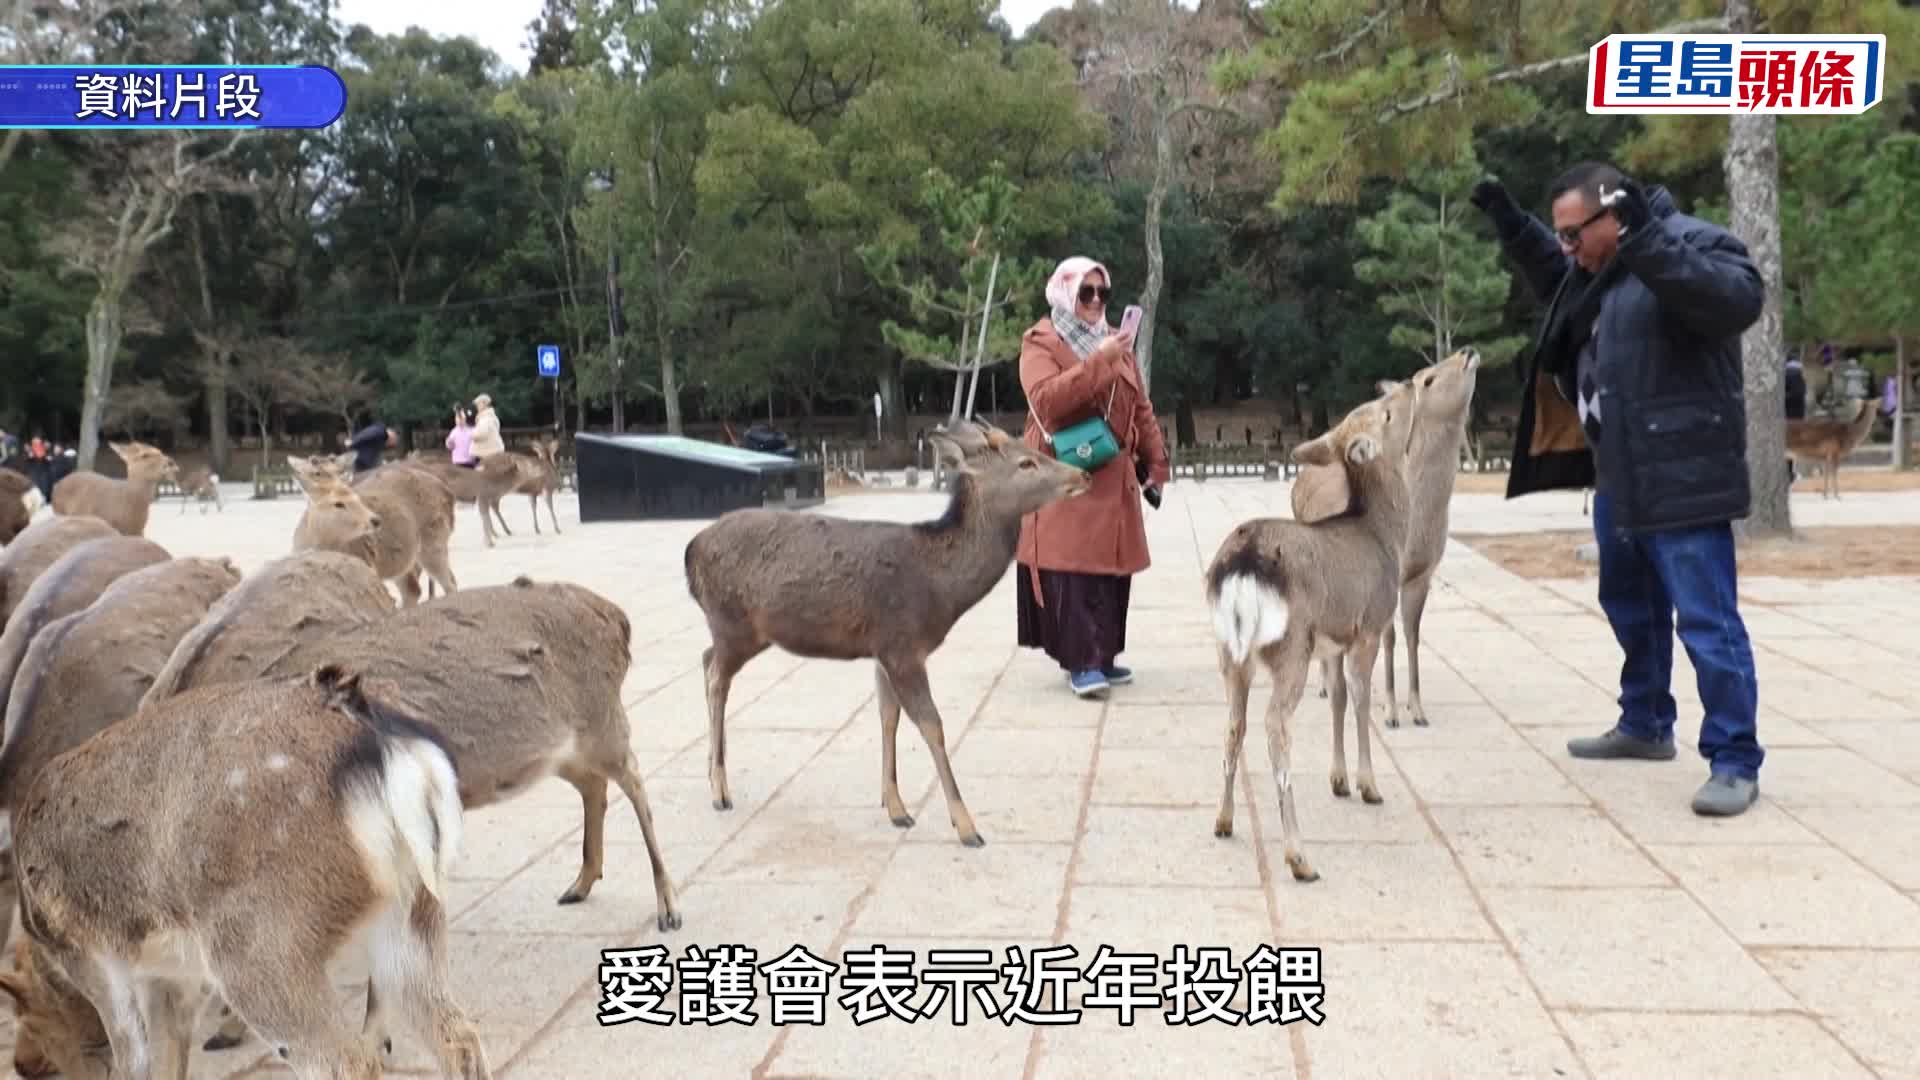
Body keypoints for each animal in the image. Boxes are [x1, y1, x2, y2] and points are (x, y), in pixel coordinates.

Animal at [3, 666, 490, 1080]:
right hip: (412, 906)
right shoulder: (178, 979)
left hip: (256, 945)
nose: (23, 1065)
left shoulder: (92, 958)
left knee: (345, 1061)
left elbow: (133, 1061)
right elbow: (172, 1057)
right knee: (458, 1036)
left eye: (32, 1017)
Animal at [684, 419, 1093, 847]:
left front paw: (896, 808)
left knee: (706, 659)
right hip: (733, 623)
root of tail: (691, 549)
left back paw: (711, 771)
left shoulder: (882, 650)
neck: (940, 590)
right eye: (1026, 462)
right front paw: (967, 826)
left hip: (741, 632)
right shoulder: (902, 644)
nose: (1083, 475)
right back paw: (719, 790)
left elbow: (888, 718)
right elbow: (932, 725)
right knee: (716, 676)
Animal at [1205, 376, 1422, 883]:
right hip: (1290, 646)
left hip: (1230, 651)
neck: (1385, 536)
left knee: (1234, 723)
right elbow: (1361, 698)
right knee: (1274, 725)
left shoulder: (1333, 643)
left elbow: (1338, 697)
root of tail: (1240, 565)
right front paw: (1368, 785)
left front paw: (1339, 781)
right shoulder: (1368, 625)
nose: (1405, 382)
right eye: (1384, 412)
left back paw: (1224, 821)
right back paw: (1299, 857)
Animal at [1297, 348, 1481, 728]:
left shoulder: (1423, 573)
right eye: (1428, 378)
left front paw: (1418, 709)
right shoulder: (1386, 576)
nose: (1467, 351)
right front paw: (1391, 710)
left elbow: (1413, 634)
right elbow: (1390, 636)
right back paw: (1324, 686)